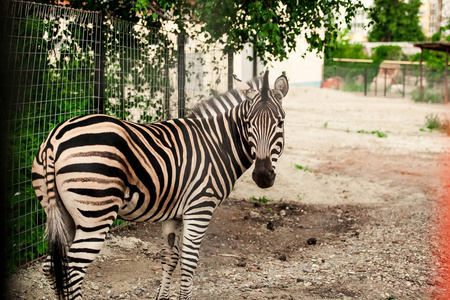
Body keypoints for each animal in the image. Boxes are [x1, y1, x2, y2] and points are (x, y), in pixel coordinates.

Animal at [33, 69, 290, 298]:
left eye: (280, 122)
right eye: (248, 123)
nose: (263, 176)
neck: (217, 145)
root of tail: (55, 138)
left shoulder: (173, 213)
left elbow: (170, 259)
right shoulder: (200, 208)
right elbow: (189, 262)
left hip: (63, 213)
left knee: (51, 267)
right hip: (95, 214)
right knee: (73, 269)